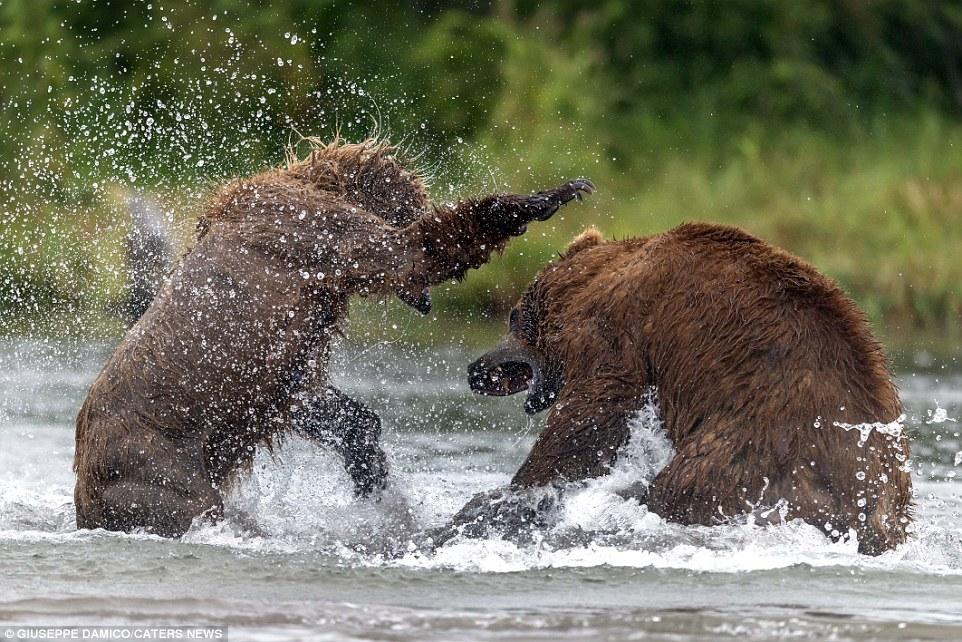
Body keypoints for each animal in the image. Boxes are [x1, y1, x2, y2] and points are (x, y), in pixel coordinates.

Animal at [73, 139, 592, 536]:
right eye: (415, 204)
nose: (423, 303)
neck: (316, 182)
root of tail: (84, 484)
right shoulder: (312, 233)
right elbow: (411, 251)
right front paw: (550, 195)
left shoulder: (285, 365)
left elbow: (319, 404)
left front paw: (371, 475)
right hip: (155, 465)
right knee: (185, 503)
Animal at [462, 222, 912, 552]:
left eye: (513, 316)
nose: (475, 369)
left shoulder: (615, 334)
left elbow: (591, 415)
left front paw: (511, 494)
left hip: (749, 453)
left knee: (680, 488)